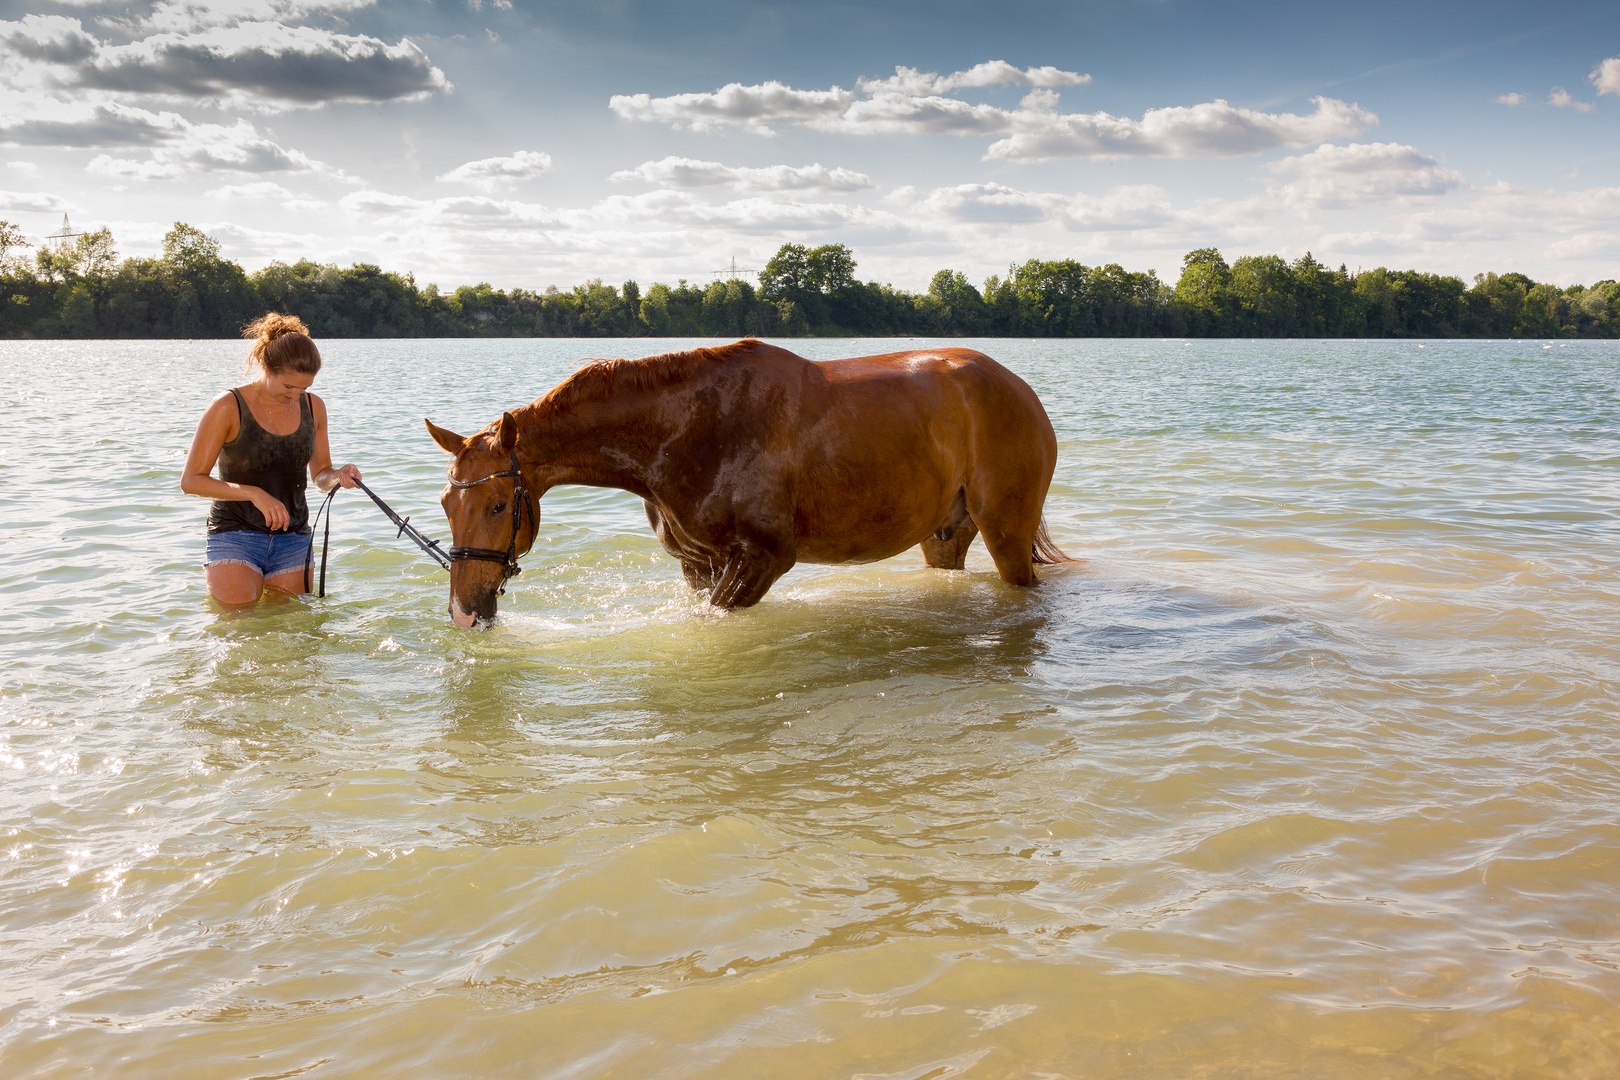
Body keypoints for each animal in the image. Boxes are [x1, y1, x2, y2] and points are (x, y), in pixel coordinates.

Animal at [424, 338, 1069, 625]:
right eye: (446, 504)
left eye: (499, 505)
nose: (463, 611)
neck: (684, 431)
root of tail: (1016, 386)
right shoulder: (698, 566)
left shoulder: (761, 560)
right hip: (944, 536)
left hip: (1006, 533)